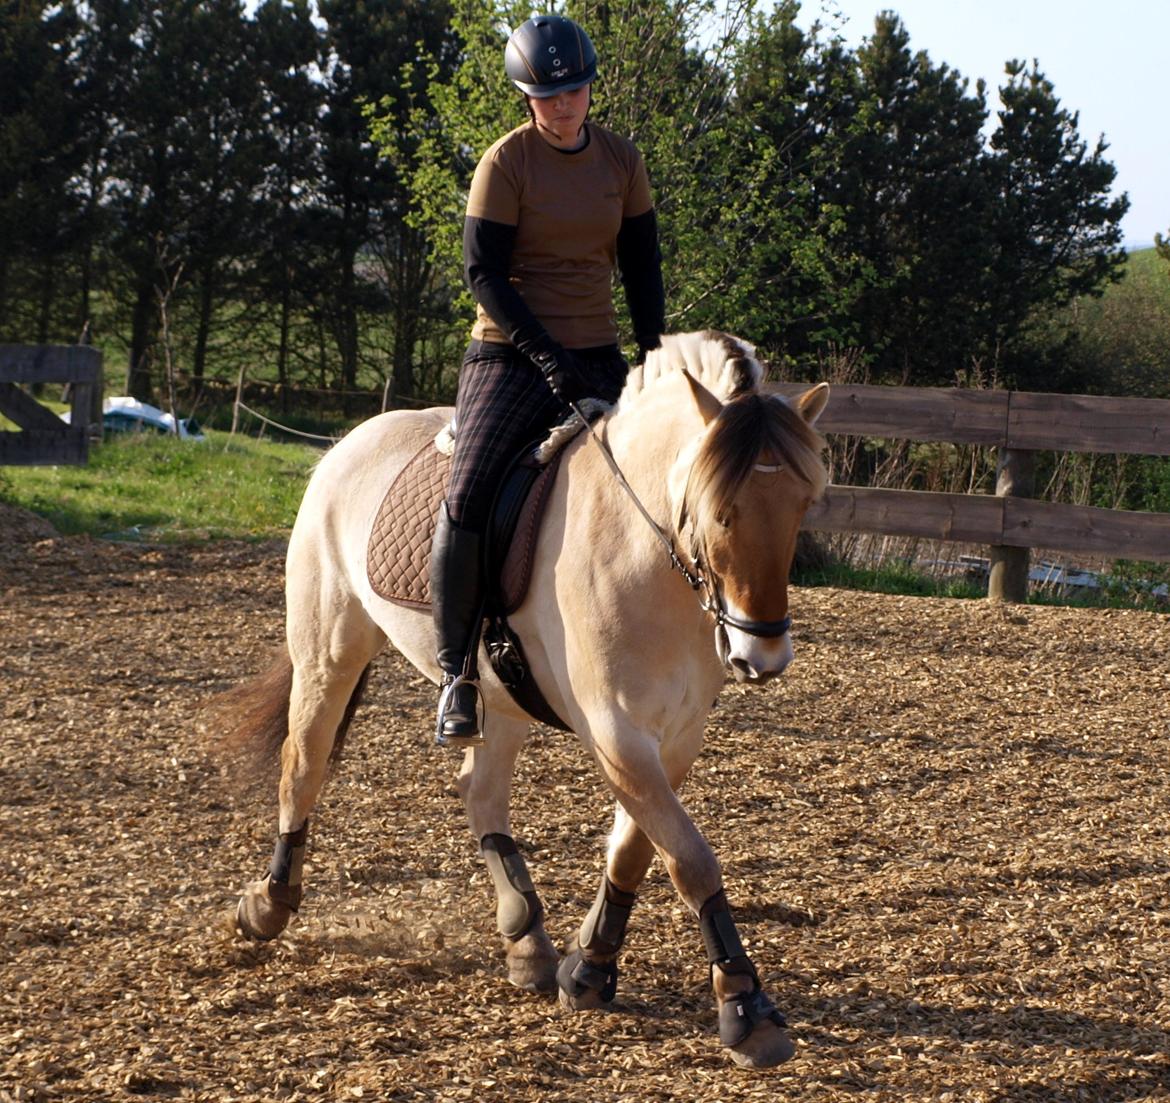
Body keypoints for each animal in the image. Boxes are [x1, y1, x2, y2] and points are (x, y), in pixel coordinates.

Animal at [212, 329, 833, 1071]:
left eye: (802, 507)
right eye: (720, 512)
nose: (762, 655)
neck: (647, 552)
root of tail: (349, 442)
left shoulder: (676, 734)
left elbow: (636, 848)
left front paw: (589, 969)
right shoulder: (615, 731)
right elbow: (689, 856)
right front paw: (746, 1006)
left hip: (497, 695)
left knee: (480, 791)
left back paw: (526, 937)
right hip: (329, 651)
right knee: (303, 765)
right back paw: (270, 903)